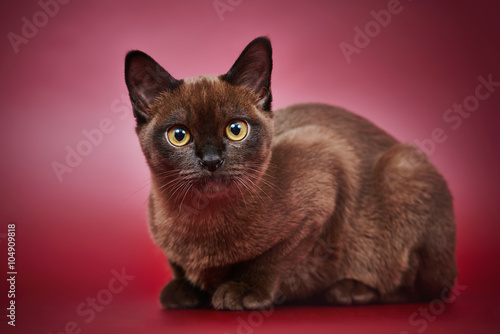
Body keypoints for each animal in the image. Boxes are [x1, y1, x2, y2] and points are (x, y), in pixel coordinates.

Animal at [124, 36, 458, 310]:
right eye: (179, 135)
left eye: (236, 130)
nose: (211, 161)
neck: (199, 223)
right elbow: (179, 266)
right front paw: (184, 291)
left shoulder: (325, 170)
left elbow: (273, 258)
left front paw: (243, 290)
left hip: (402, 168)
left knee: (421, 286)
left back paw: (349, 291)